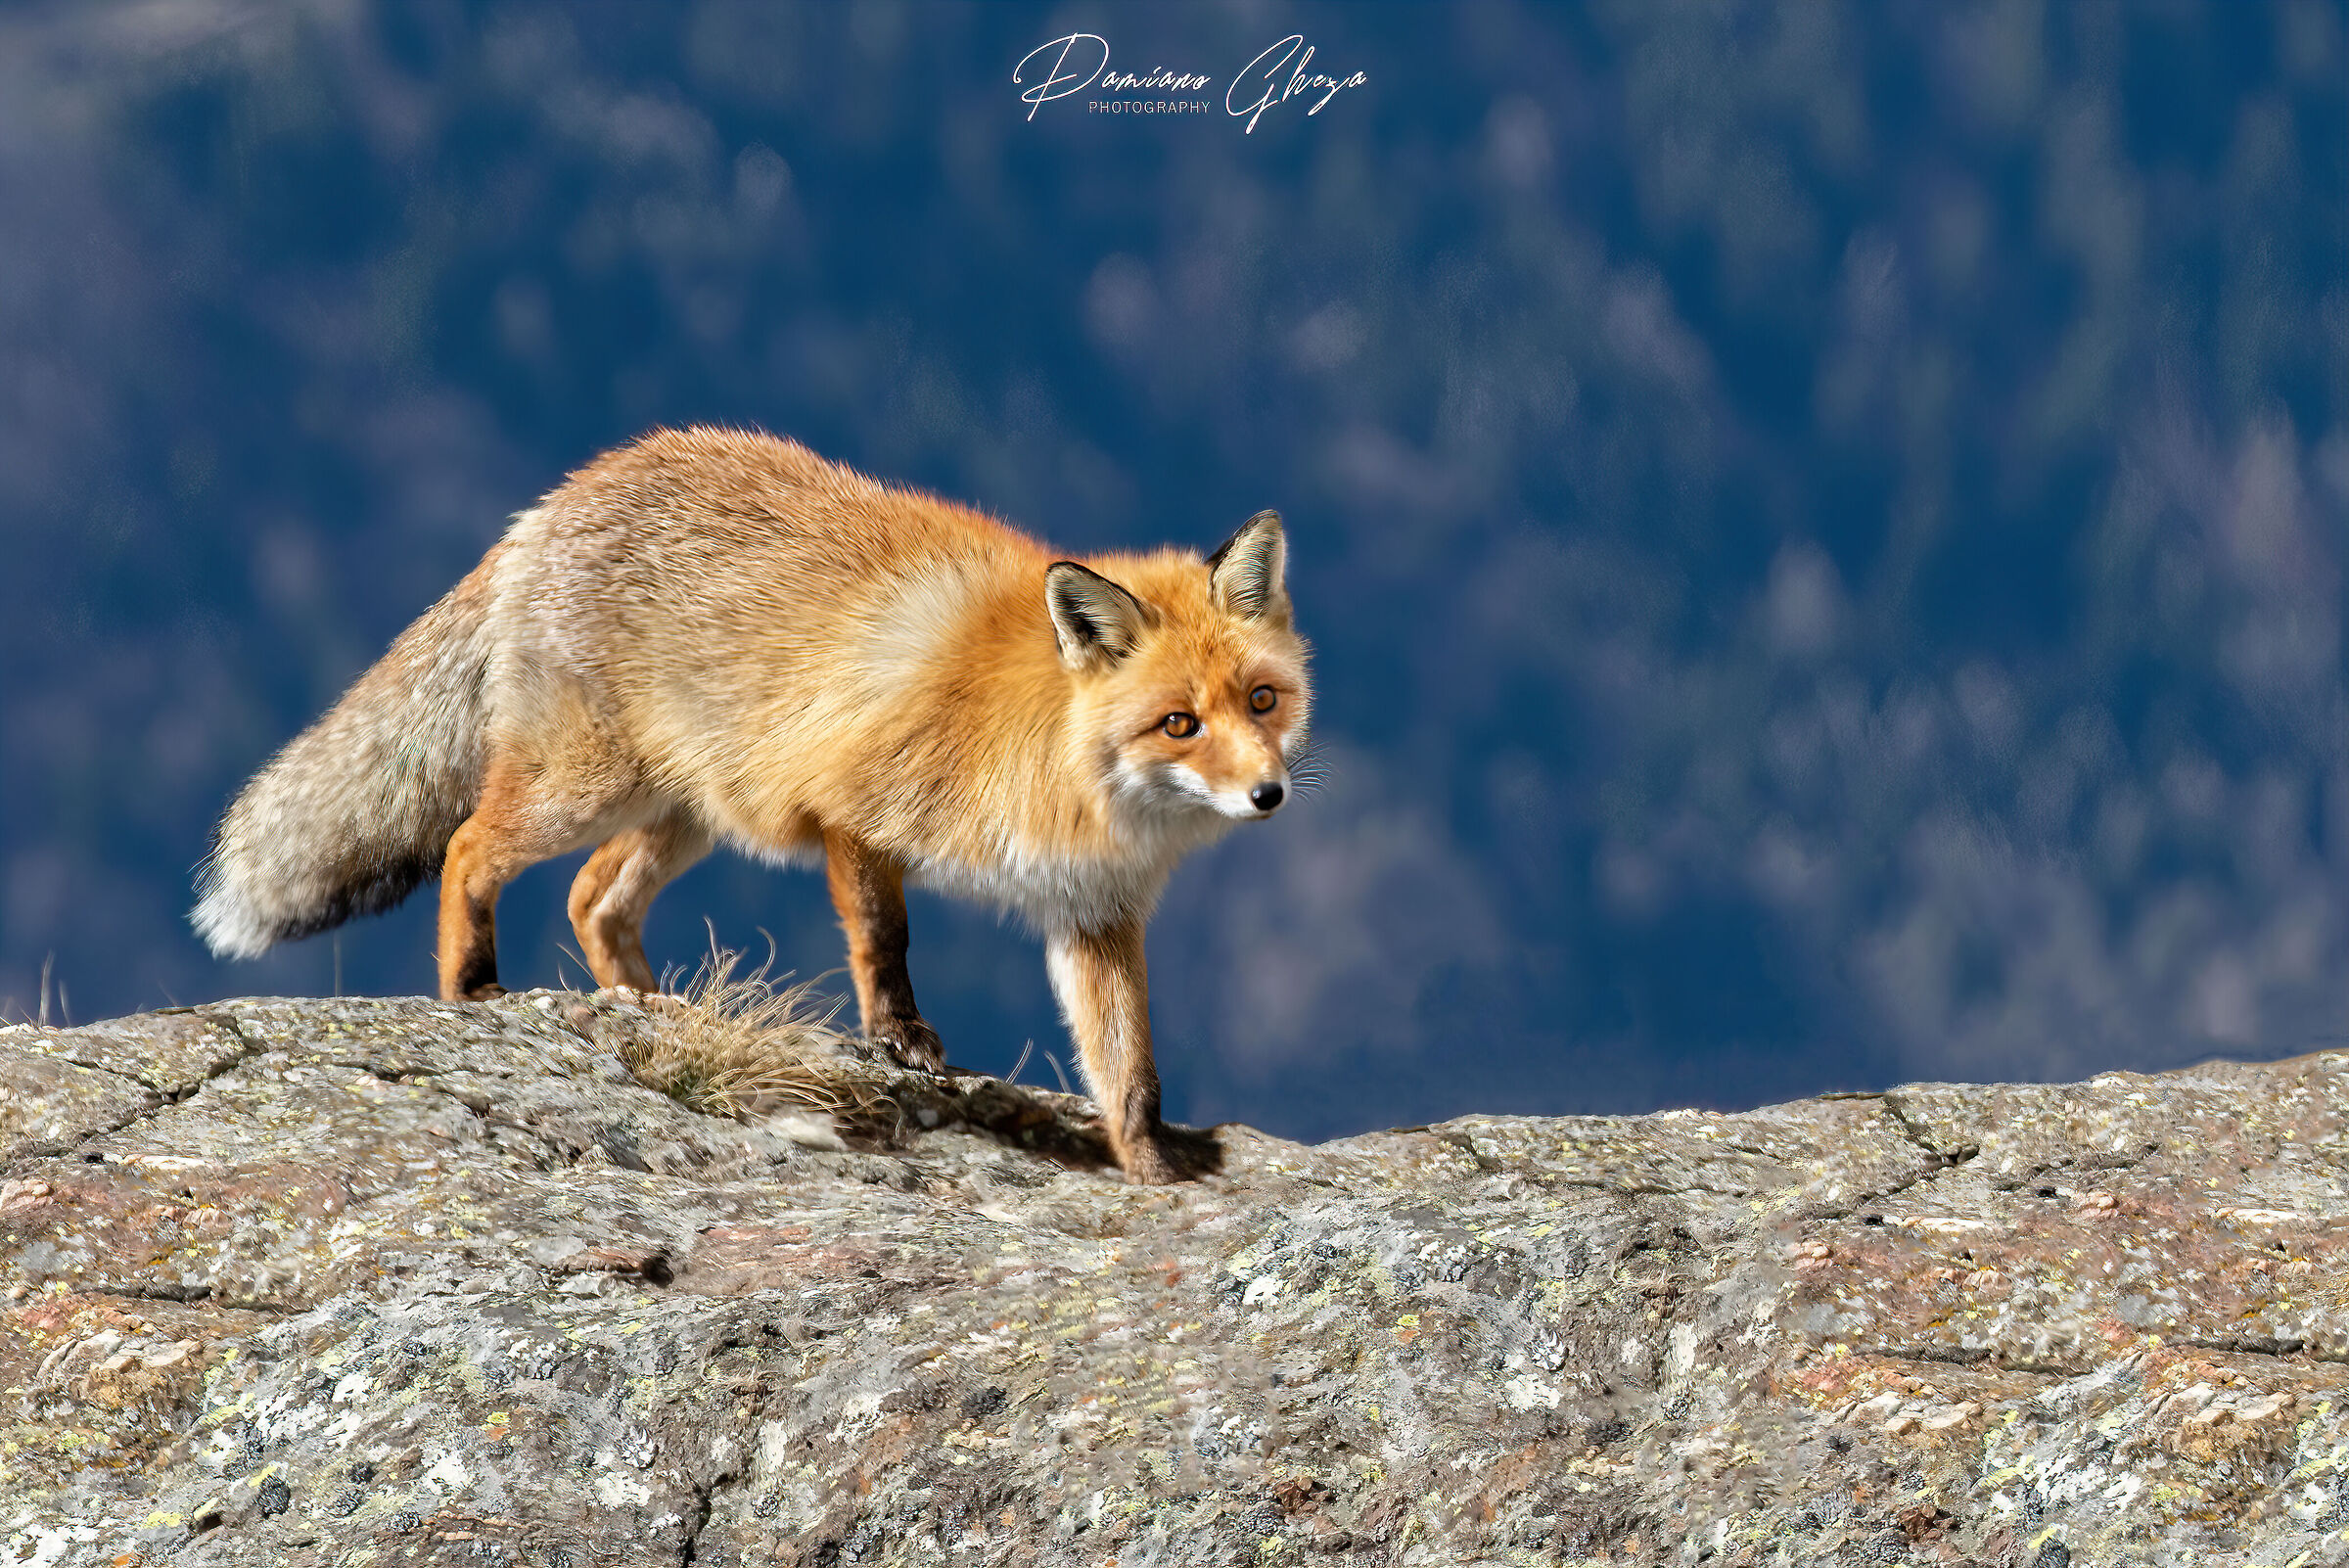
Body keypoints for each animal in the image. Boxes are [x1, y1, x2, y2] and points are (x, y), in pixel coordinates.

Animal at [192, 426, 1310, 1183]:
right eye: (1179, 723)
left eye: (1261, 701)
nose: (1269, 794)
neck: (1051, 757)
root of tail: (555, 501)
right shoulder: (853, 812)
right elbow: (885, 941)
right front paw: (900, 1039)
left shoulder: (1092, 914)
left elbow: (1129, 1067)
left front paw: (1150, 1170)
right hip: (585, 788)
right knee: (470, 848)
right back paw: (474, 991)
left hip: (687, 810)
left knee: (593, 899)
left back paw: (648, 1008)